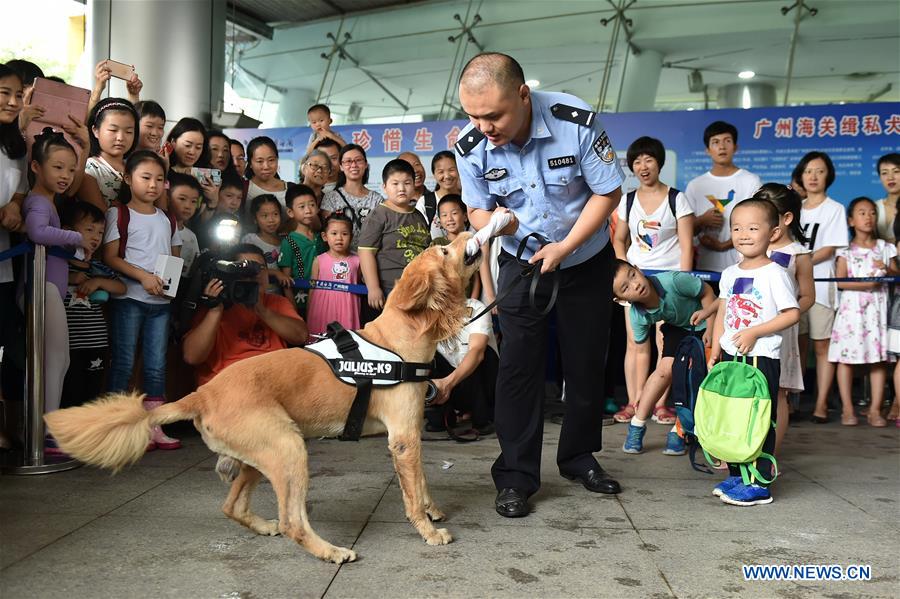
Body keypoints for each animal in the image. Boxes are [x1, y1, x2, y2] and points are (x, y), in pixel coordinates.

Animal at [47, 233, 486, 564]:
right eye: (445, 251)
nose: (467, 231)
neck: (398, 339)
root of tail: (201, 393)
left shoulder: (409, 437)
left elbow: (422, 482)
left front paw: (431, 509)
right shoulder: (404, 439)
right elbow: (412, 491)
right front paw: (428, 530)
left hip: (261, 453)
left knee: (233, 507)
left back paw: (263, 526)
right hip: (288, 446)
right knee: (292, 521)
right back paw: (330, 551)